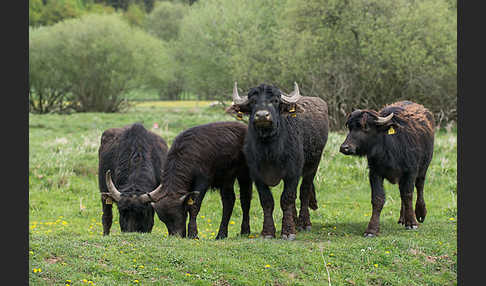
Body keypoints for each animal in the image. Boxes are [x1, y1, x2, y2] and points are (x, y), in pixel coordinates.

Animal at [226, 81, 328, 240]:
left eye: (275, 100)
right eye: (253, 101)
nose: (262, 115)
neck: (270, 150)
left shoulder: (292, 173)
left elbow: (286, 199)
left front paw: (288, 231)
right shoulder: (257, 176)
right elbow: (267, 201)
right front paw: (268, 232)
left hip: (313, 165)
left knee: (304, 191)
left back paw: (304, 223)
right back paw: (295, 221)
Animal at [340, 100, 434, 237]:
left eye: (365, 127)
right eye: (350, 127)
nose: (344, 148)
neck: (389, 149)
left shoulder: (410, 171)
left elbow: (408, 195)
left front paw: (412, 223)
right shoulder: (375, 173)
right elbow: (377, 199)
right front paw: (372, 230)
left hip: (424, 166)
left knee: (419, 186)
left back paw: (420, 213)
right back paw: (402, 219)